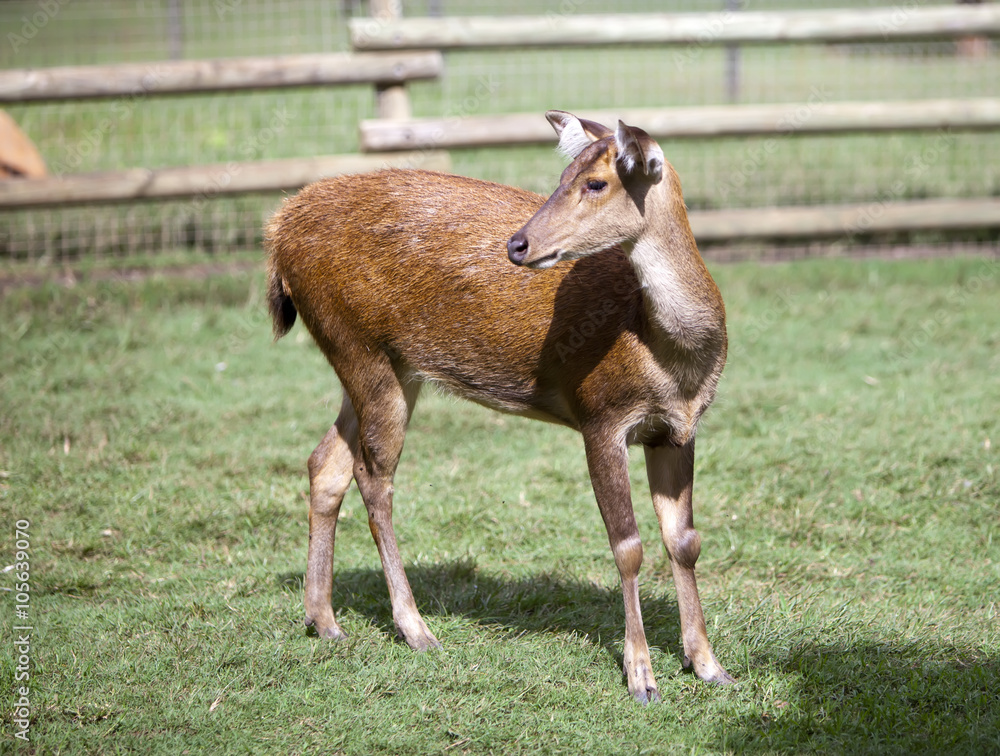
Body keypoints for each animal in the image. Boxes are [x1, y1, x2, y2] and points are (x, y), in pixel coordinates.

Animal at [264, 110, 733, 703]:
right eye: (562, 176)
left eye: (595, 182)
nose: (518, 244)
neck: (671, 356)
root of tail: (278, 231)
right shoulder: (600, 414)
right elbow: (627, 545)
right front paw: (641, 677)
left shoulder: (678, 429)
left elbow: (685, 541)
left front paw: (709, 664)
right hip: (359, 346)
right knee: (374, 476)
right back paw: (416, 628)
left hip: (386, 364)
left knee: (326, 462)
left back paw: (323, 619)